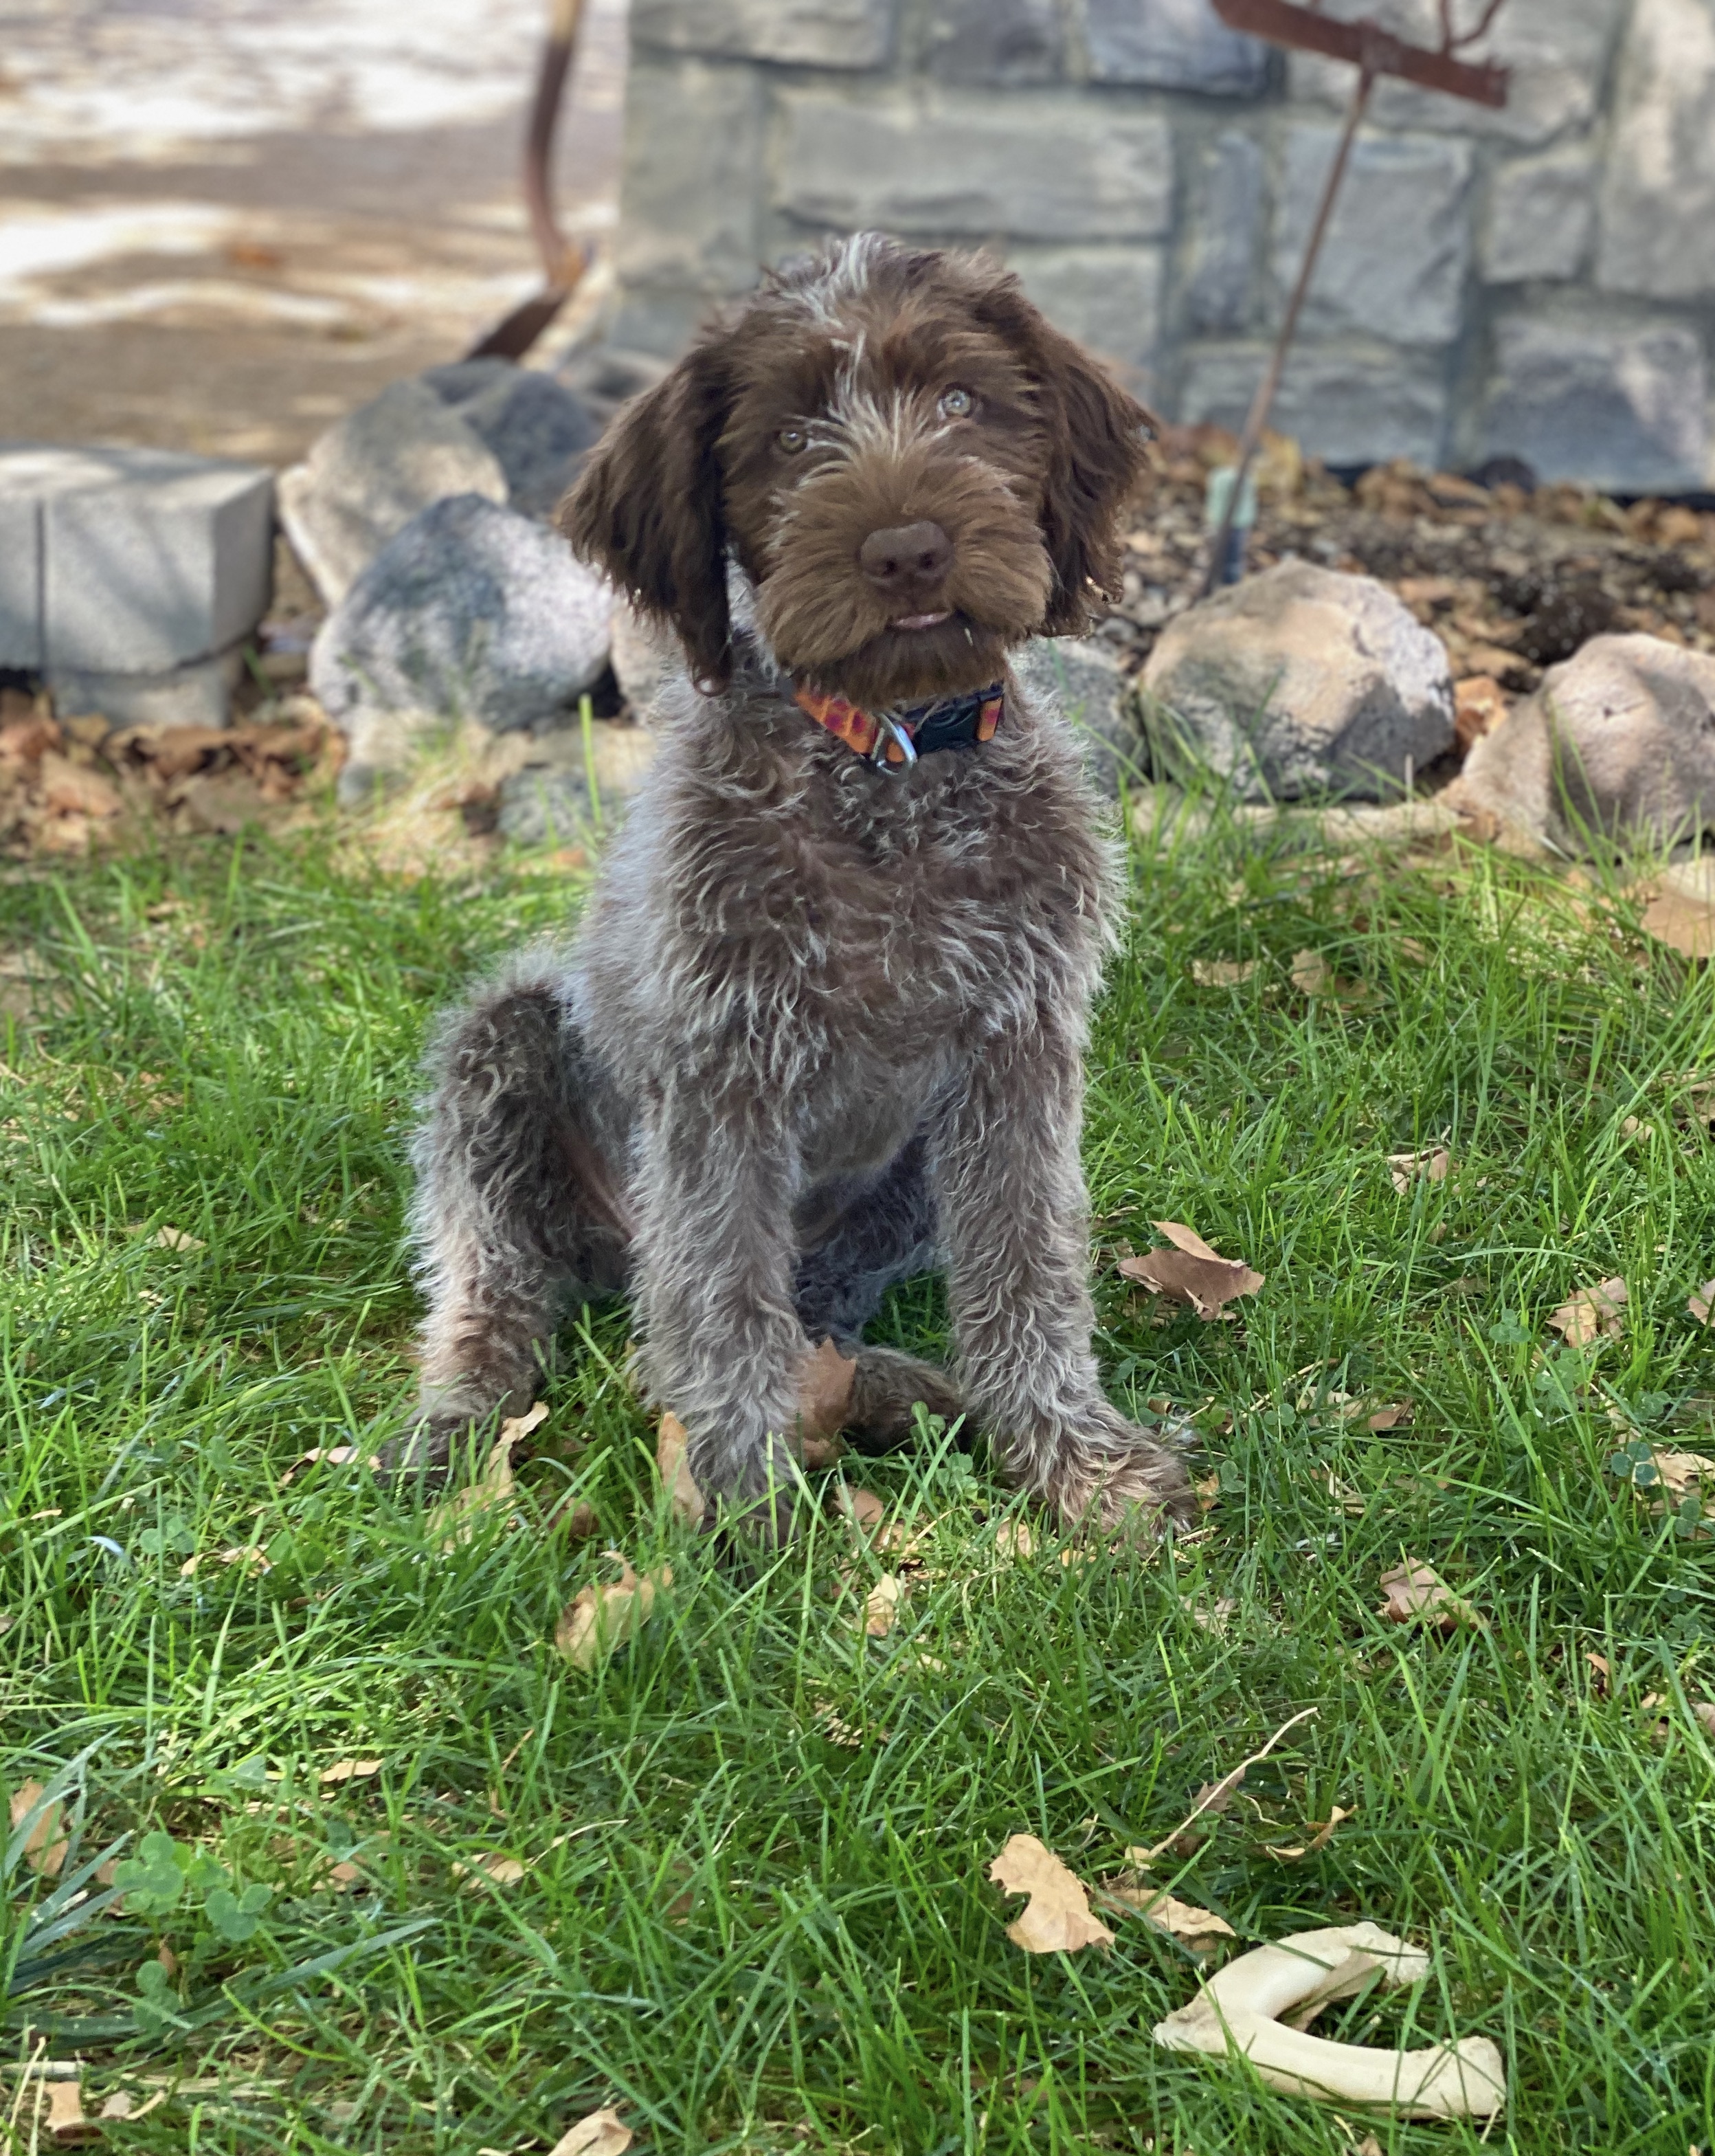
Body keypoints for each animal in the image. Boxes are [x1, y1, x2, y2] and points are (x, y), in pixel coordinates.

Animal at [400, 233, 1195, 1537]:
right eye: (787, 437)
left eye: (962, 401)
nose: (907, 550)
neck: (890, 774)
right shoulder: (721, 1077)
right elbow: (722, 1301)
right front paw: (748, 1514)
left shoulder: (1017, 1056)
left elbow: (1027, 1270)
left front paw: (1072, 1459)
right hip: (502, 1048)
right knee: (518, 1297)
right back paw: (454, 1422)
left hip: (903, 1176)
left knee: (799, 1316)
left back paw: (899, 1392)